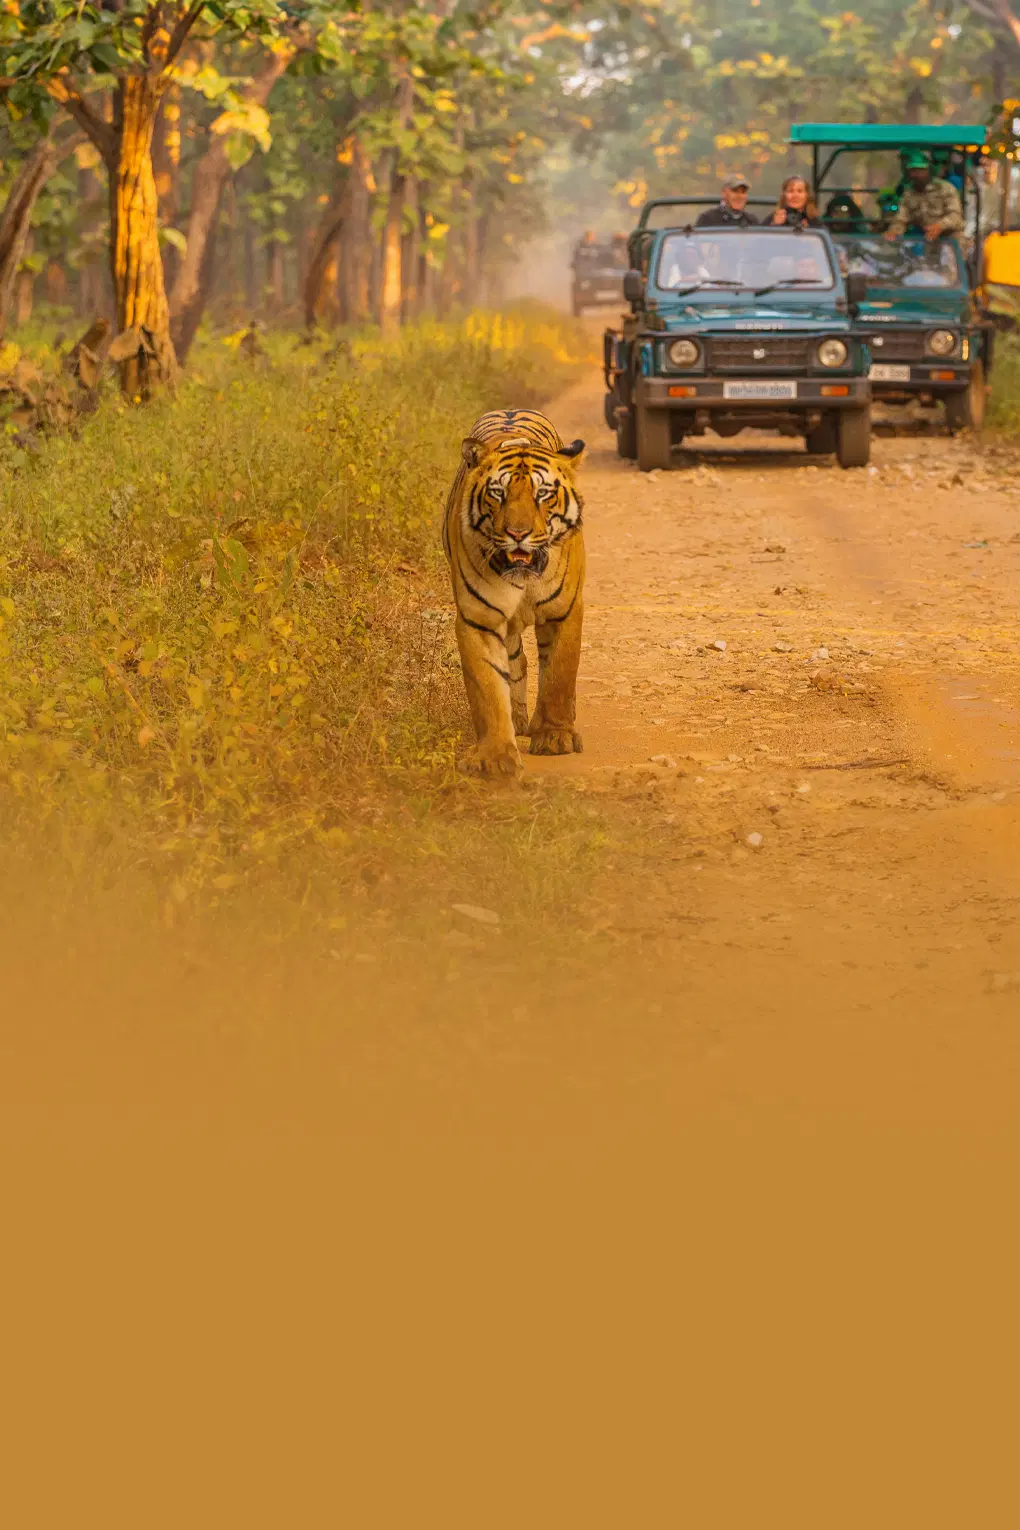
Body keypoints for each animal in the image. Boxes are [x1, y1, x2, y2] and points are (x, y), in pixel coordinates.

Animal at [443, 407, 586, 778]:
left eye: (543, 494)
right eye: (498, 494)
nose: (517, 533)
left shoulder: (565, 611)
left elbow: (560, 673)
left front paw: (555, 737)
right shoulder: (478, 618)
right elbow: (488, 689)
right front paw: (495, 755)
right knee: (517, 661)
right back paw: (520, 719)